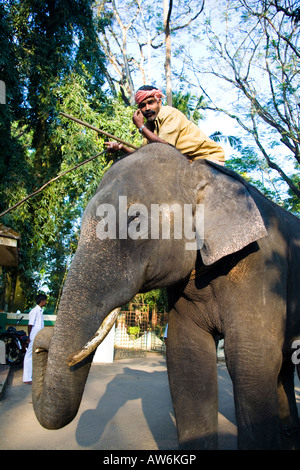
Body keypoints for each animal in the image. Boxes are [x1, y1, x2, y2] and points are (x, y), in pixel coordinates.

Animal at [32, 142, 300, 448]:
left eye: (135, 219)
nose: (42, 344)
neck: (196, 170)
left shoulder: (261, 270)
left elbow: (251, 360)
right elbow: (187, 356)